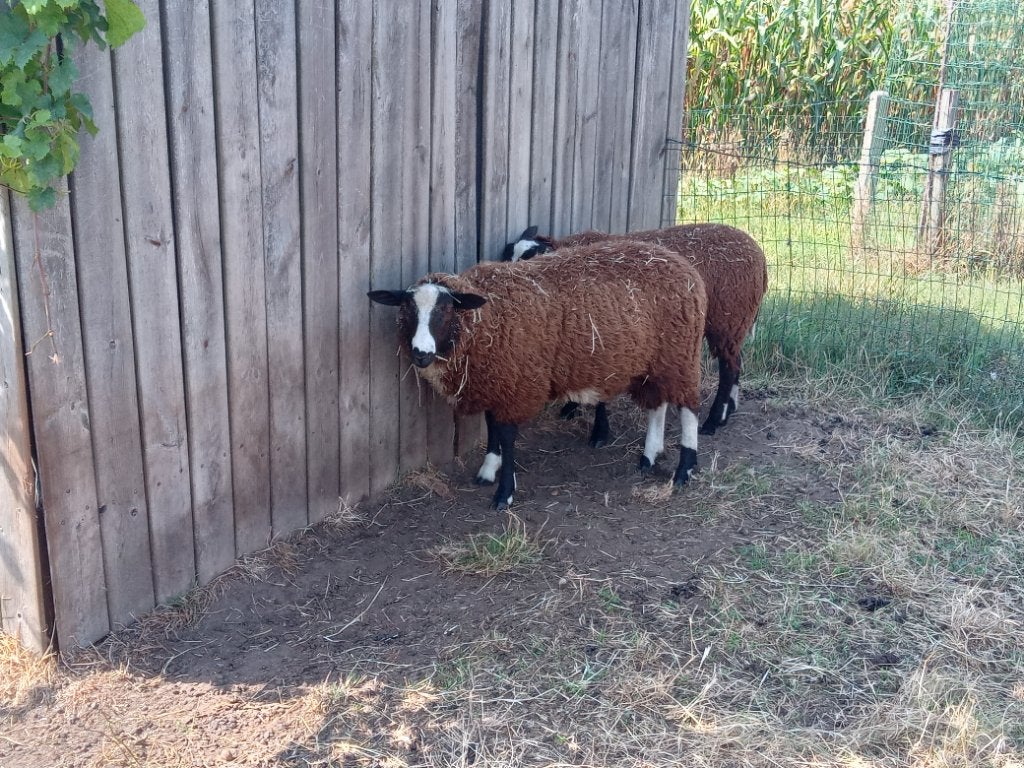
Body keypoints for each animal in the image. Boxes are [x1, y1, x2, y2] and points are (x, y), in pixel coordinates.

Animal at [368, 240, 708, 509]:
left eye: (444, 310)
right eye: (409, 310)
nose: (421, 353)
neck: (484, 321)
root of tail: (680, 263)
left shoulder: (517, 384)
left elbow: (506, 436)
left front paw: (504, 492)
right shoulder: (497, 381)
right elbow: (492, 427)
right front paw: (488, 469)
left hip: (680, 353)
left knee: (689, 408)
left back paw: (684, 469)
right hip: (657, 361)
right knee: (657, 404)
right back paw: (649, 456)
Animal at [502, 223, 767, 440]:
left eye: (531, 256)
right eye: (508, 254)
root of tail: (760, 256)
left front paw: (599, 432)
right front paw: (571, 408)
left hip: (727, 319)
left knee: (729, 369)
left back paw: (713, 421)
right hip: (735, 324)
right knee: (736, 361)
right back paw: (727, 411)